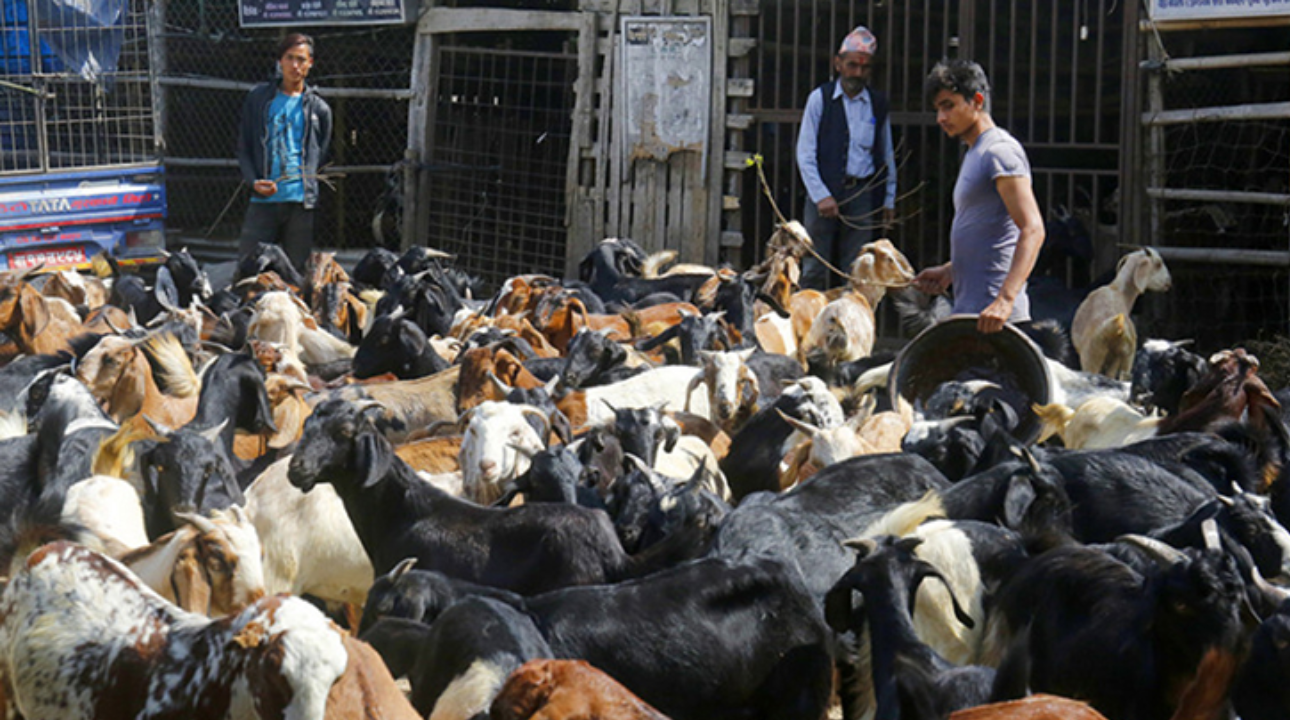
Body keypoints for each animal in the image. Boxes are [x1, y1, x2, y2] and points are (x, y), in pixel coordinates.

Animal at [1068, 247, 1171, 381]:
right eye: (1158, 264)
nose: (1169, 282)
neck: (1119, 291)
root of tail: (1116, 325)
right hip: (1116, 355)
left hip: (1106, 356)